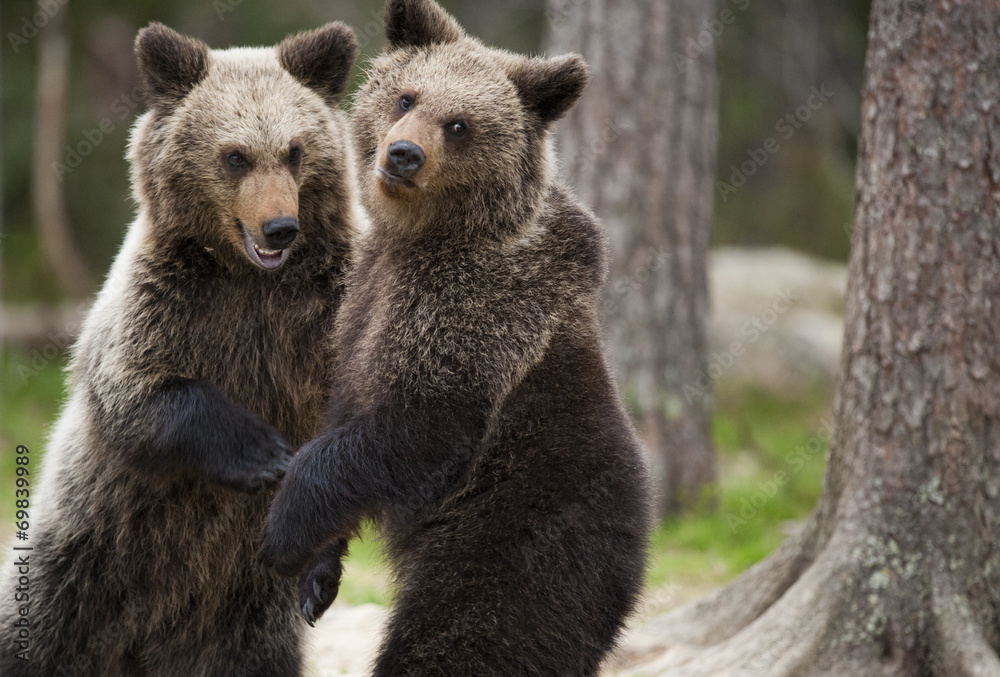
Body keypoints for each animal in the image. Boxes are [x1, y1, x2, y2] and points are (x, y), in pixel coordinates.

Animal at [0, 21, 360, 676]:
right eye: (235, 155)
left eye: (295, 150)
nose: (280, 228)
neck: (250, 280)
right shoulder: (165, 303)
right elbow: (138, 394)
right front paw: (260, 450)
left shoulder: (325, 312)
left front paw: (320, 570)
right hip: (81, 556)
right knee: (33, 633)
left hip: (244, 613)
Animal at [256, 0, 648, 672]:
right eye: (407, 96)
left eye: (459, 124)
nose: (403, 154)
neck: (423, 234)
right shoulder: (363, 300)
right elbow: (344, 407)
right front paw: (318, 573)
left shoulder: (475, 303)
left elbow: (419, 421)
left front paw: (283, 528)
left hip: (519, 534)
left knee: (467, 634)